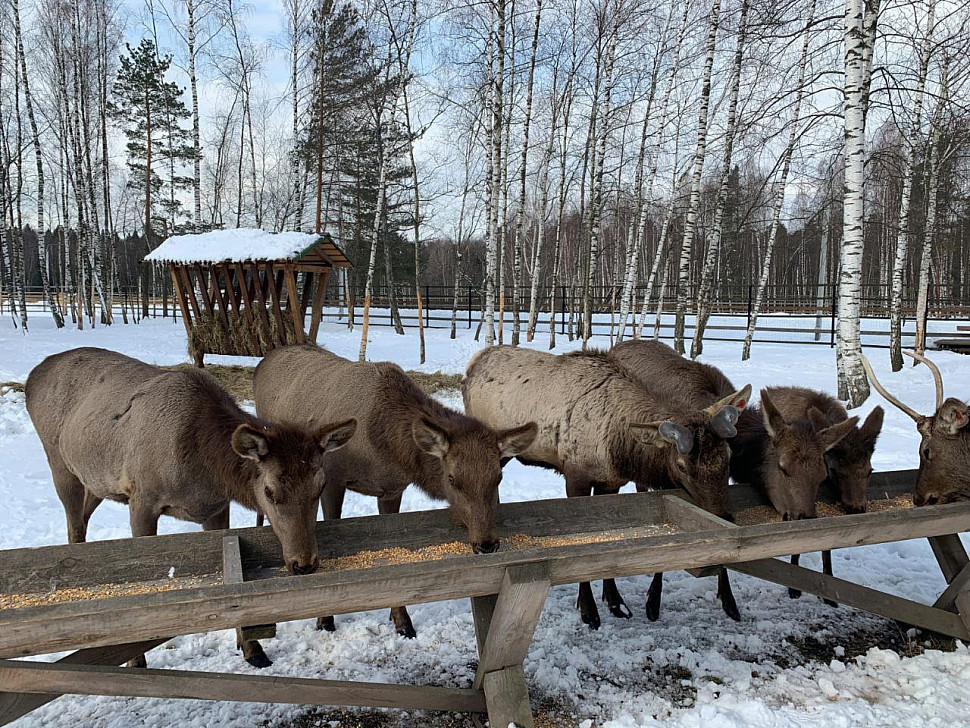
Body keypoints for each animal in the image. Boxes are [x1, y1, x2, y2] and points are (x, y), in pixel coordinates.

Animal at [25, 346, 356, 664]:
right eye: (269, 490)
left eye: (320, 486)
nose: (304, 564)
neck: (203, 464)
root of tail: (34, 373)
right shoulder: (142, 497)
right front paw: (135, 661)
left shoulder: (216, 507)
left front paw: (252, 649)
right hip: (60, 464)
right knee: (73, 524)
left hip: (96, 481)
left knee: (82, 518)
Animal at [250, 346, 536, 636]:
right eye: (453, 478)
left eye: (498, 477)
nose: (487, 544)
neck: (385, 448)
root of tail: (263, 362)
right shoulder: (331, 480)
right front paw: (325, 620)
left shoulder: (391, 489)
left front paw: (401, 621)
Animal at [464, 344, 748, 628]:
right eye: (682, 466)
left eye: (729, 456)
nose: (725, 516)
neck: (617, 446)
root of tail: (473, 364)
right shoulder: (575, 476)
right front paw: (588, 610)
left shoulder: (611, 482)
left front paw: (615, 602)